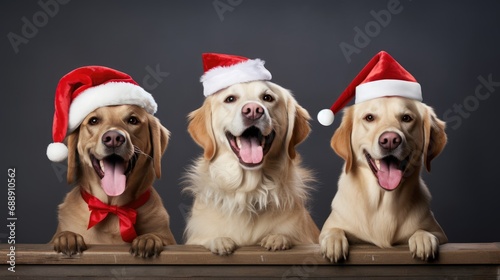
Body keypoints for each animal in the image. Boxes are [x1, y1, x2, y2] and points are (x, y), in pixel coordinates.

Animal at [51, 105, 176, 258]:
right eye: (93, 120)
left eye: (133, 120)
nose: (114, 138)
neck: (112, 207)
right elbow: (63, 234)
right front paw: (68, 237)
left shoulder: (168, 237)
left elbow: (158, 236)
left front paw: (148, 239)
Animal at [184, 80, 320, 254]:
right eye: (230, 99)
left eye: (267, 98)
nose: (253, 111)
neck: (249, 190)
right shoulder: (196, 239)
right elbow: (206, 239)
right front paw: (219, 241)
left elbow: (288, 236)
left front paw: (278, 238)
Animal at [320, 97, 450, 262]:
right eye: (369, 117)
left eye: (406, 118)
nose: (390, 140)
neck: (383, 200)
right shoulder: (331, 226)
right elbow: (334, 230)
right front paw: (333, 241)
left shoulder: (441, 234)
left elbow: (424, 231)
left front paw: (423, 238)